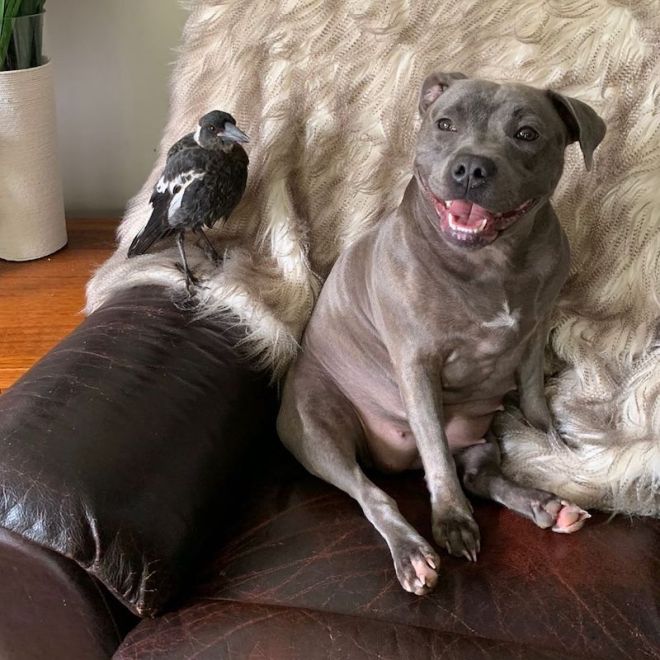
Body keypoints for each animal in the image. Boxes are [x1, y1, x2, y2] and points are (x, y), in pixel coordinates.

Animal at [276, 73, 604, 600]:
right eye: (445, 123)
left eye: (527, 133)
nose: (471, 167)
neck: (490, 262)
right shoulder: (417, 365)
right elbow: (434, 451)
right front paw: (451, 520)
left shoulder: (533, 340)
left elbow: (536, 405)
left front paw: (557, 450)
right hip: (318, 427)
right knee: (373, 493)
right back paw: (411, 551)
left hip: (481, 436)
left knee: (480, 474)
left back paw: (545, 504)